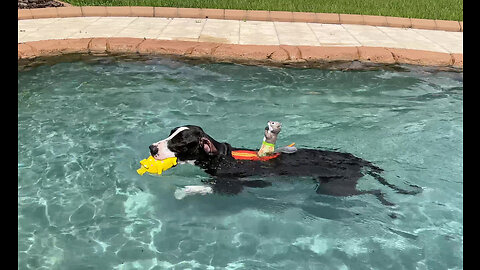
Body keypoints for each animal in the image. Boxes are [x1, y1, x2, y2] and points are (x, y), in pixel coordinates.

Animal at [149, 125, 420, 205]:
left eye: (179, 142)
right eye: (170, 133)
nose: (151, 147)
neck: (220, 156)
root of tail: (356, 158)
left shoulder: (232, 187)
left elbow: (208, 187)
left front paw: (183, 192)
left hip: (335, 188)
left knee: (374, 190)